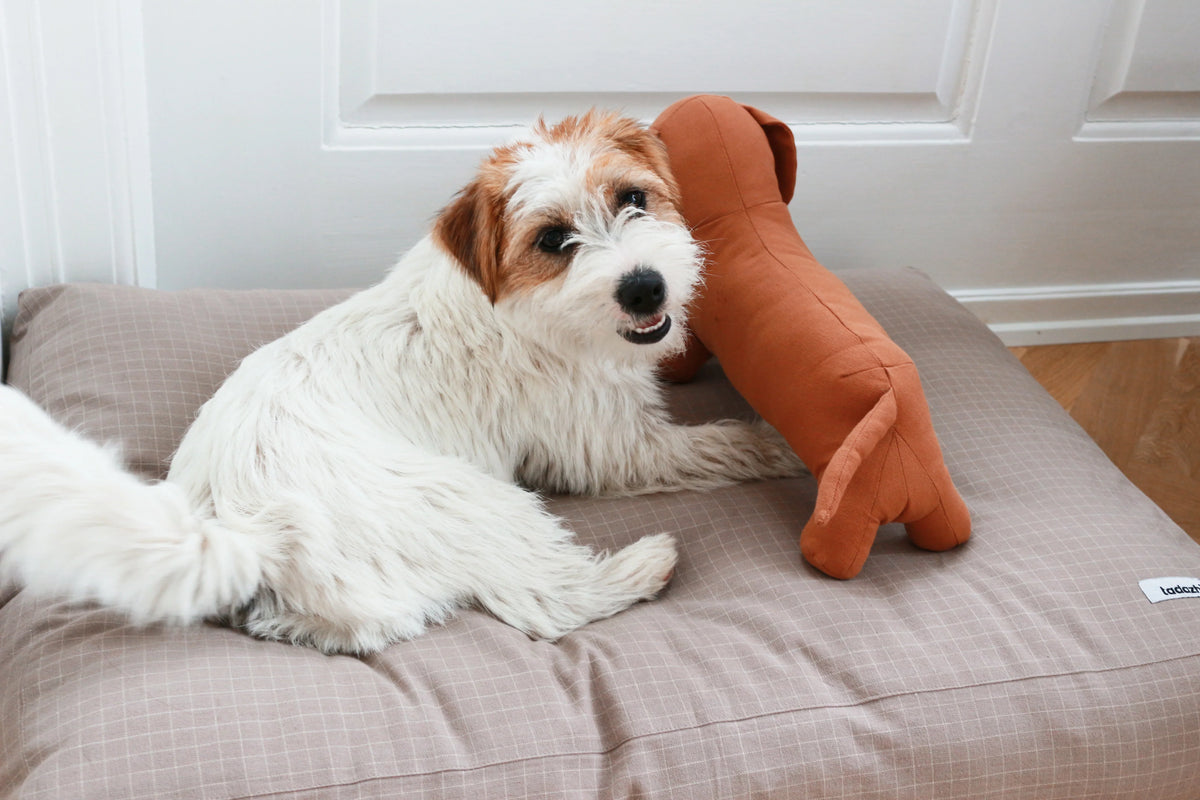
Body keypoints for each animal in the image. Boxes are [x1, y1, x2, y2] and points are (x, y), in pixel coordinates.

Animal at [2, 109, 806, 652]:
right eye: (554, 240)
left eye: (633, 199)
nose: (644, 288)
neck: (518, 305)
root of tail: (242, 525)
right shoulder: (611, 448)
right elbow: (712, 444)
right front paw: (782, 444)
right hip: (472, 498)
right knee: (548, 601)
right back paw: (646, 565)